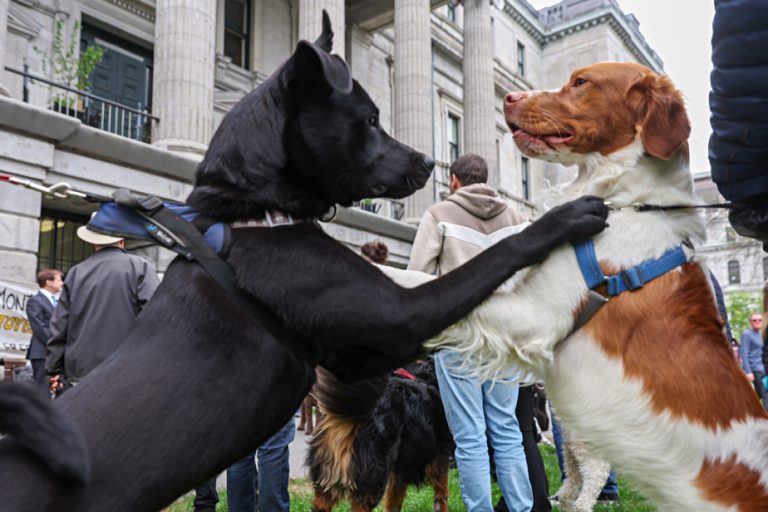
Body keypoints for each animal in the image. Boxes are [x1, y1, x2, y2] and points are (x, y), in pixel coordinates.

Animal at [306, 360, 452, 512]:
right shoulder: (439, 456)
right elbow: (442, 494)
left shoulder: (399, 471)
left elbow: (394, 502)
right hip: (373, 478)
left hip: (326, 479)